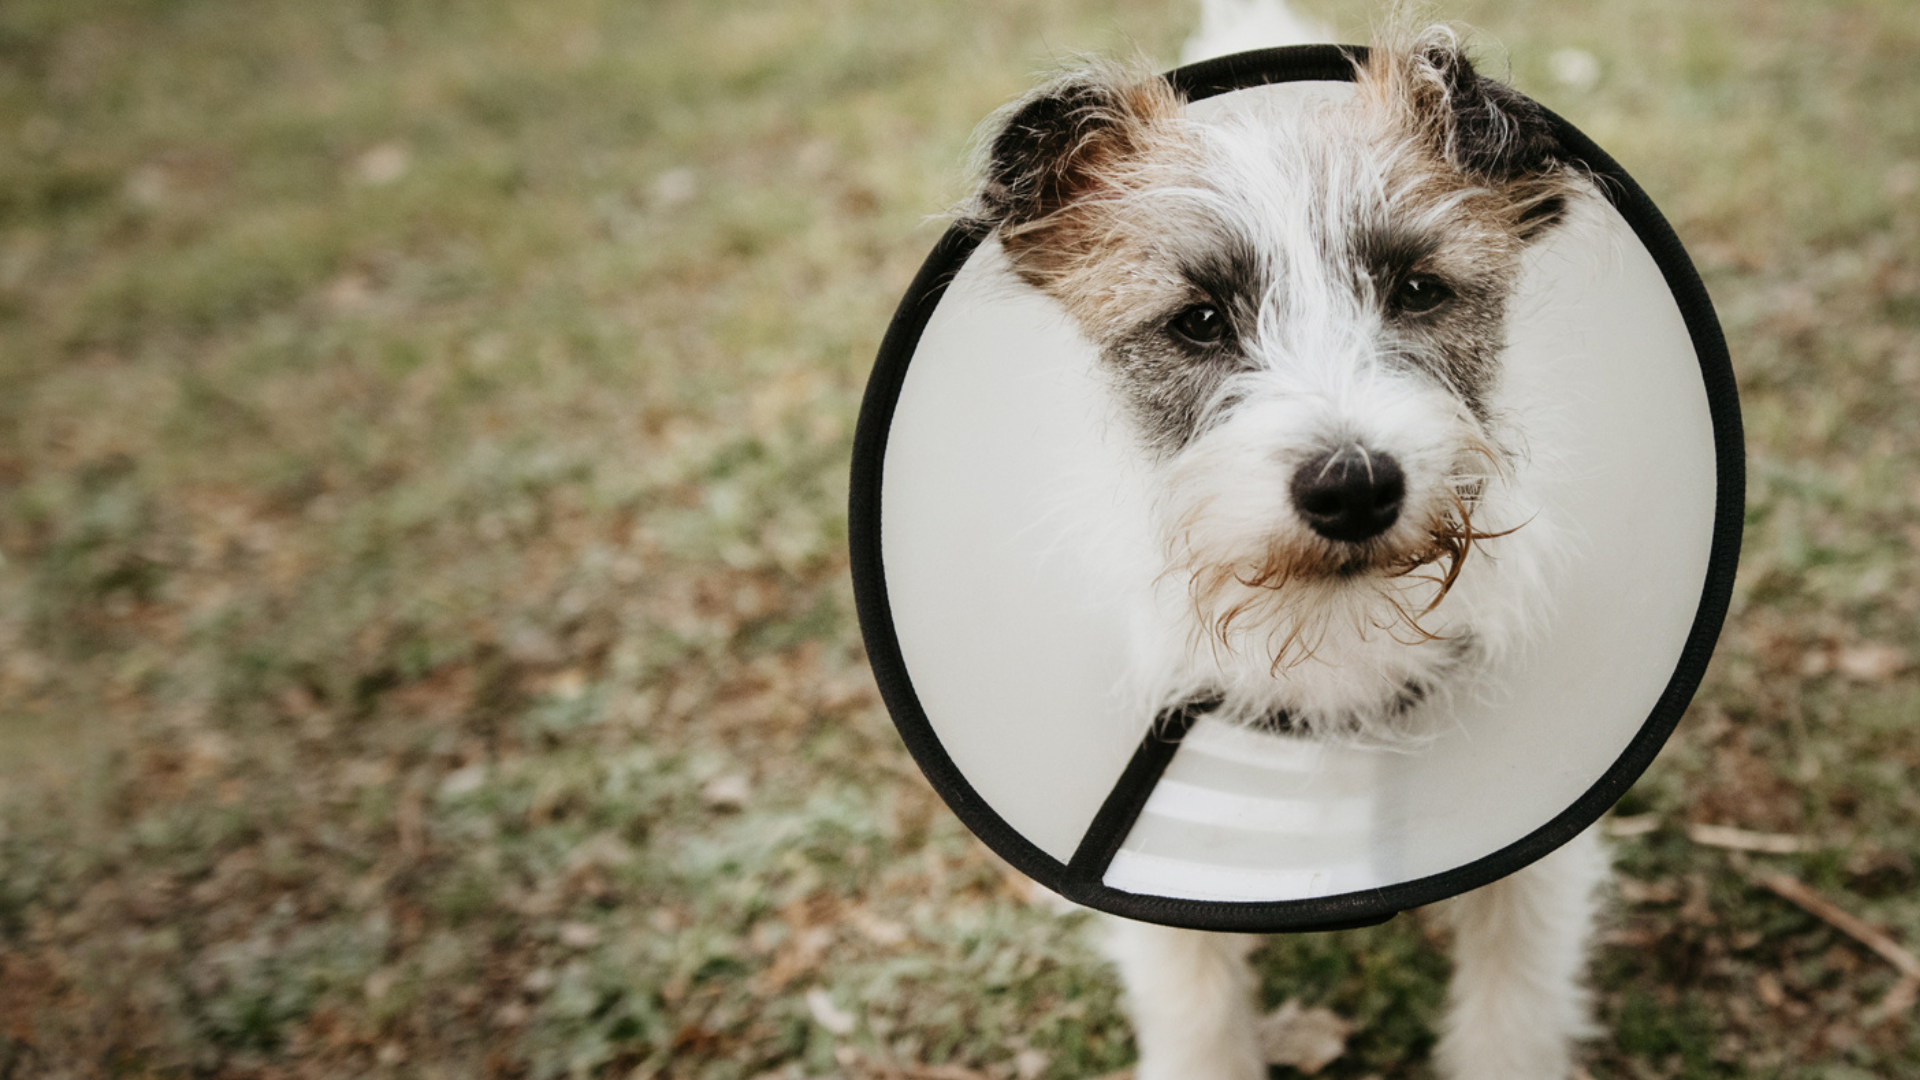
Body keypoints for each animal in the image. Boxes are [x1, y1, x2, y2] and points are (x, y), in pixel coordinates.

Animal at [960, 8, 1605, 1076]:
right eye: (1198, 321)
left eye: (1418, 289)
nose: (1352, 489)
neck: (1333, 628)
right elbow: (1196, 1014)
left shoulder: (1538, 853)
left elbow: (1513, 1007)